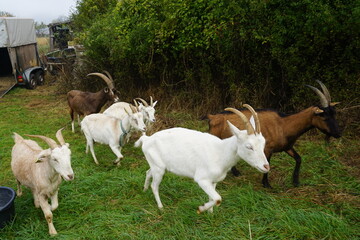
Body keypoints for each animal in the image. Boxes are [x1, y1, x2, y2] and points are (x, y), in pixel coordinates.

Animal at [135, 104, 270, 213]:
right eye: (249, 146)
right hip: (159, 169)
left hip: (156, 165)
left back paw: (144, 190)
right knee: (154, 186)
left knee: (148, 172)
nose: (266, 166)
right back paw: (160, 207)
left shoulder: (214, 181)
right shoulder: (202, 179)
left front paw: (210, 214)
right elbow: (218, 198)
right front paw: (201, 209)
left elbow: (213, 198)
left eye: (263, 143)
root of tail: (147, 139)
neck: (220, 151)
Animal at [207, 81, 342, 188]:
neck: (283, 124)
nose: (339, 133)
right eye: (323, 116)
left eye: (334, 113)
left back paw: (236, 173)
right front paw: (266, 184)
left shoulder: (287, 146)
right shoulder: (268, 149)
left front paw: (295, 181)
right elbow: (267, 164)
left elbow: (299, 159)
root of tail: (212, 117)